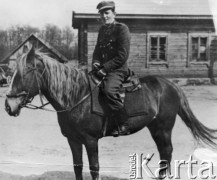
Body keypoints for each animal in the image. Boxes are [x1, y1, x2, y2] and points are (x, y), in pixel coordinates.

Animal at [4, 46, 217, 180]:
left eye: (25, 72)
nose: (8, 105)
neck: (76, 97)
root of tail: (171, 85)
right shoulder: (73, 140)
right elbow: (77, 168)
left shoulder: (90, 140)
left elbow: (94, 168)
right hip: (155, 127)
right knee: (165, 153)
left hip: (163, 128)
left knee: (167, 153)